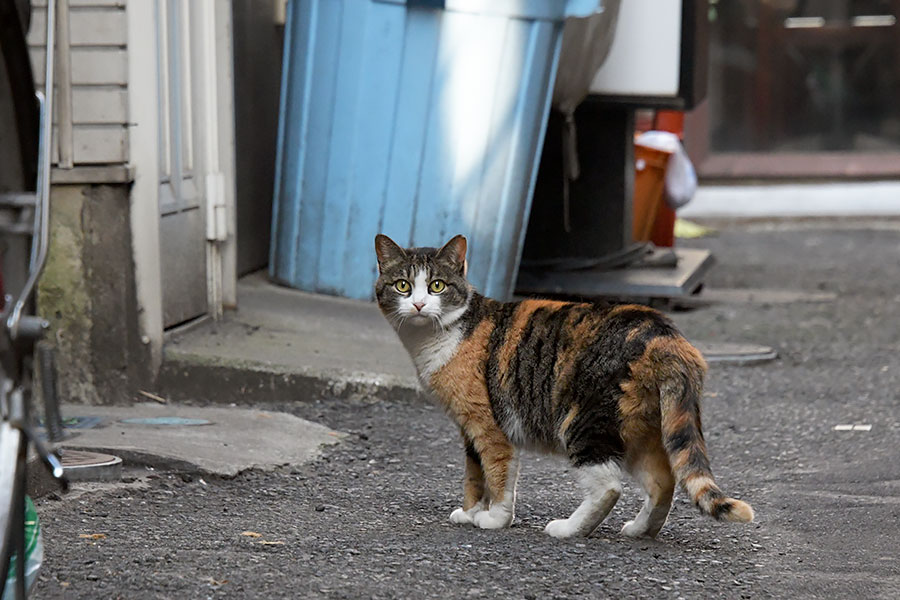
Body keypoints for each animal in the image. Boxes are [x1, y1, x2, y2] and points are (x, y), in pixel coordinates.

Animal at [372, 232, 752, 536]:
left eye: (437, 285)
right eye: (403, 285)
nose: (419, 304)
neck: (443, 336)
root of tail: (664, 334)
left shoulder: (487, 425)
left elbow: (497, 472)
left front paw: (494, 519)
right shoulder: (468, 431)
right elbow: (473, 475)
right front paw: (470, 513)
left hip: (584, 421)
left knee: (608, 487)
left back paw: (568, 529)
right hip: (638, 430)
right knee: (663, 481)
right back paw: (640, 530)